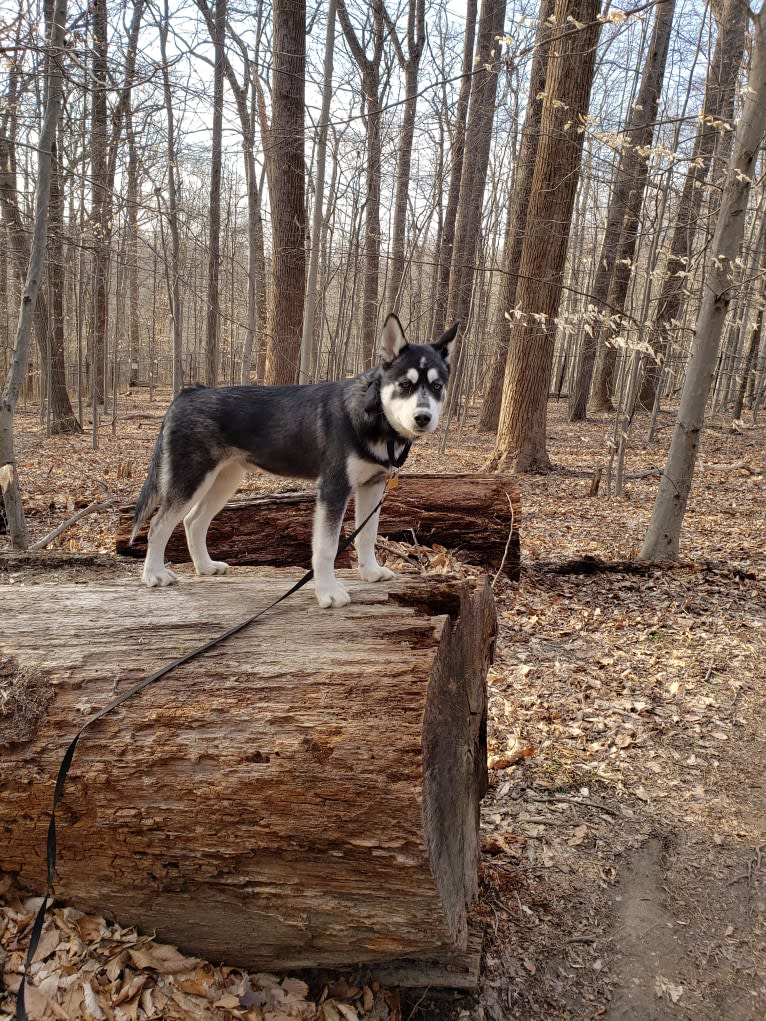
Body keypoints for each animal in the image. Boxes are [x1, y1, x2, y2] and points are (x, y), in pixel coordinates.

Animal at [130, 312, 461, 604]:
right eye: (405, 384)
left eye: (437, 386)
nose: (423, 418)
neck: (373, 417)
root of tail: (187, 394)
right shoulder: (334, 488)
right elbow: (326, 547)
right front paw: (328, 593)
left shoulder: (373, 486)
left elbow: (367, 535)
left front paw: (370, 571)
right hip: (190, 479)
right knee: (158, 525)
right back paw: (154, 575)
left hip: (224, 480)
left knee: (193, 521)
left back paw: (205, 566)